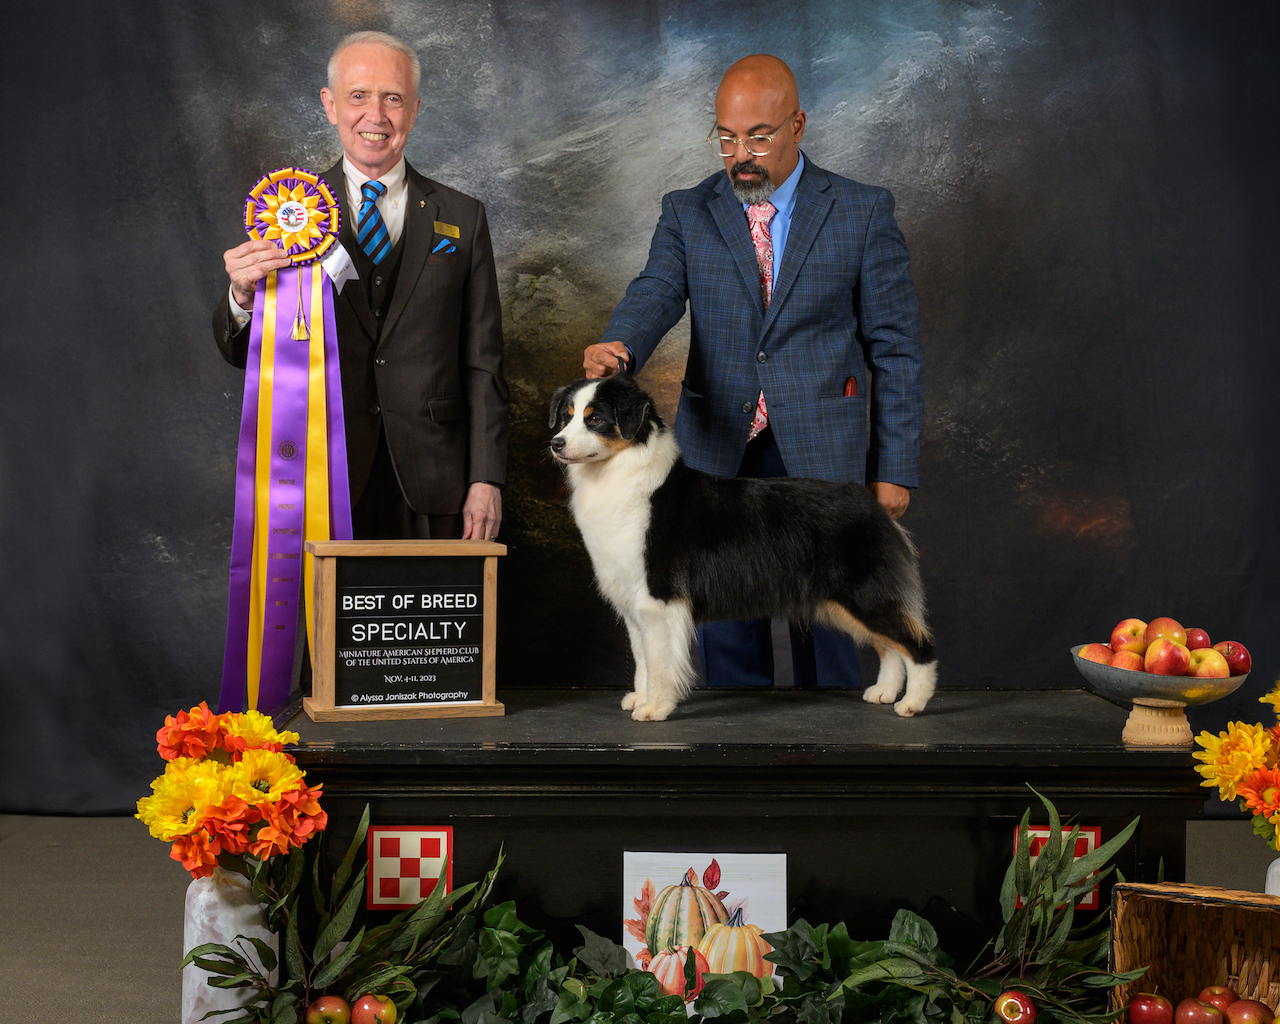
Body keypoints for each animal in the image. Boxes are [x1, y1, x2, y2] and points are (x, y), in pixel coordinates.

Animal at [548, 374, 937, 722]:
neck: (618, 473)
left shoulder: (658, 598)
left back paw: (912, 704)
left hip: (866, 592)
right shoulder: (633, 600)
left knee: (918, 645)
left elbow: (659, 662)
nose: (556, 443)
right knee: (889, 647)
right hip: (848, 600)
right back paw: (884, 693)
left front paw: (655, 709)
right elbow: (642, 658)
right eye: (567, 416)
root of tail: (873, 504)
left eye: (595, 419)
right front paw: (640, 698)